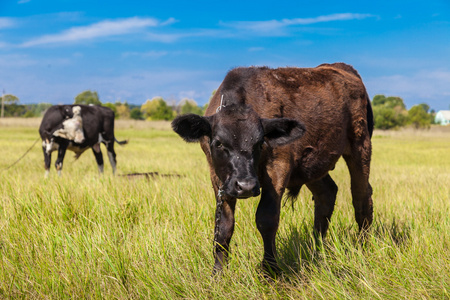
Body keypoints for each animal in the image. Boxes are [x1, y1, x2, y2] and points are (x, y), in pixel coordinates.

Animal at [171, 62, 372, 274]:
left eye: (260, 143)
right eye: (218, 143)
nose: (246, 186)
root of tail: (339, 67)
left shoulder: (278, 167)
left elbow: (266, 218)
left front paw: (270, 270)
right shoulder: (219, 179)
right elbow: (224, 226)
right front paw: (218, 272)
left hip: (360, 146)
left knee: (361, 196)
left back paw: (363, 247)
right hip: (313, 165)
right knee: (327, 193)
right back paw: (316, 249)